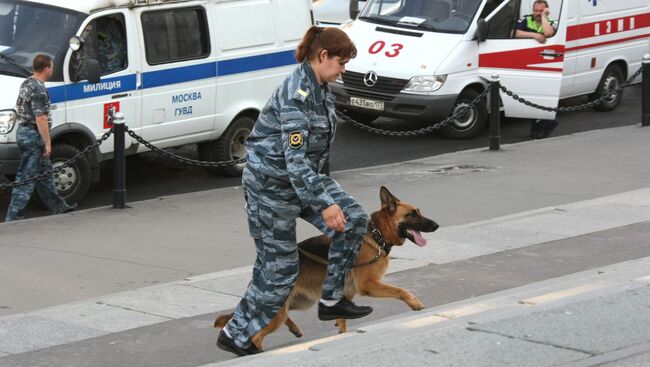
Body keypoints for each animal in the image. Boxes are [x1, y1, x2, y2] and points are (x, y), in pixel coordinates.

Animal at [213, 187, 436, 350]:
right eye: (412, 214)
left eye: (419, 212)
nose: (436, 225)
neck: (376, 234)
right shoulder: (369, 285)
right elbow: (400, 290)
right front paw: (415, 303)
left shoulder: (347, 294)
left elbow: (342, 317)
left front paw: (342, 333)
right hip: (280, 312)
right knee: (257, 335)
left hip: (300, 303)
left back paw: (293, 329)